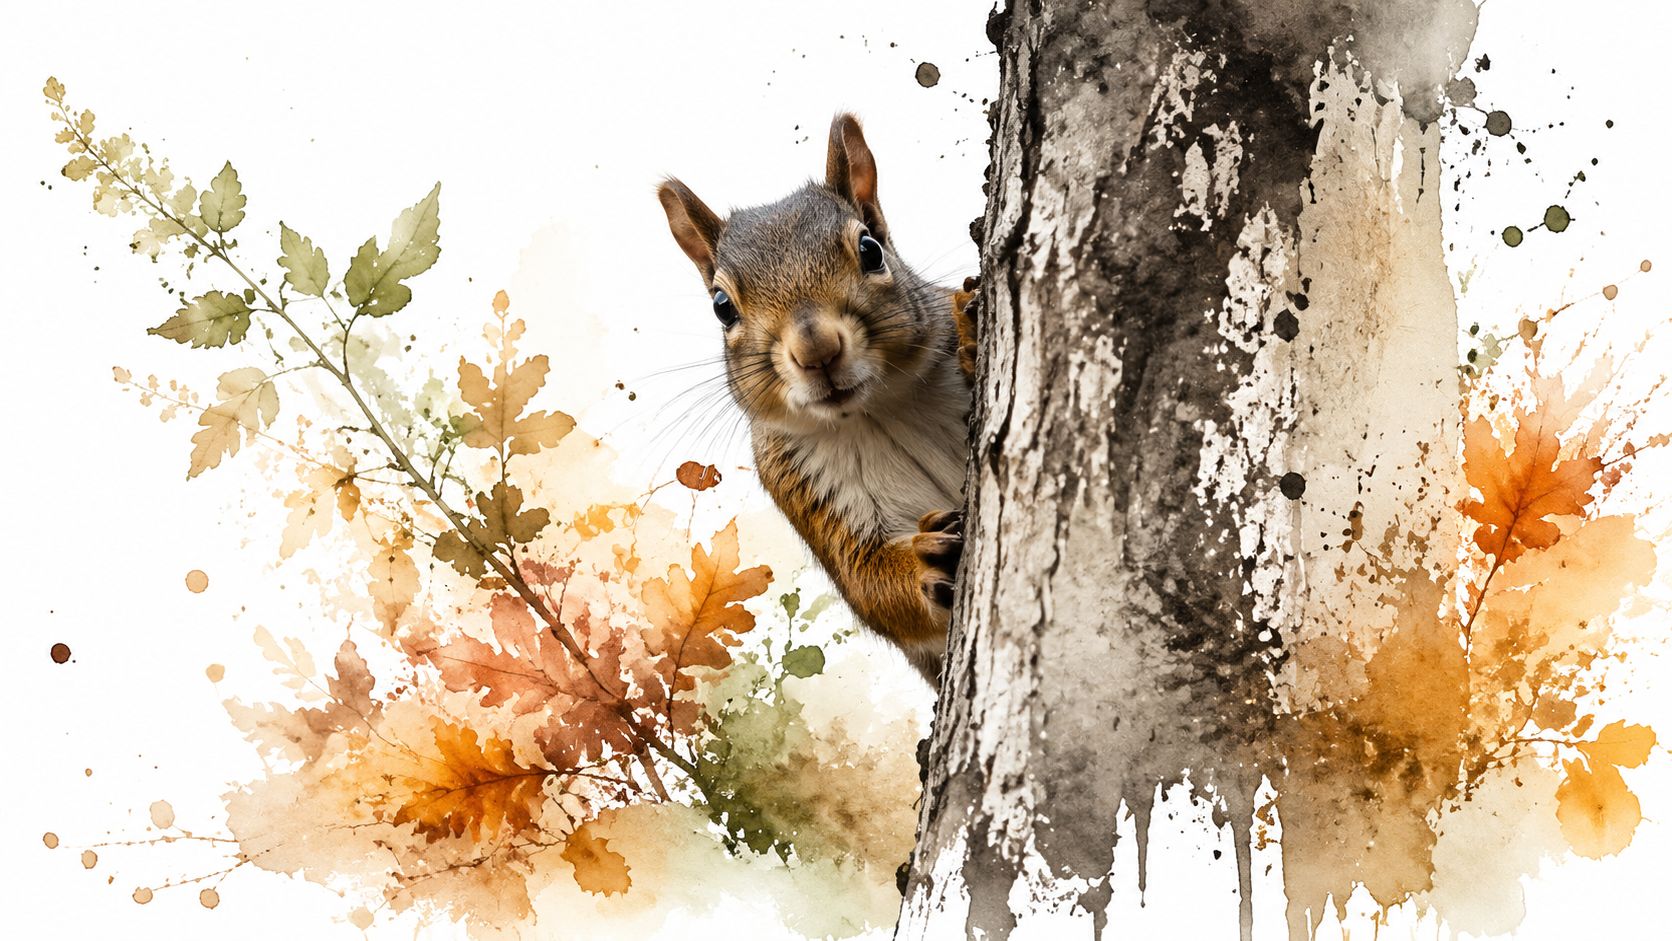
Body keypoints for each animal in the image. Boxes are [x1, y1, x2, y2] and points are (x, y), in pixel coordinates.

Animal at [657, 113, 978, 683]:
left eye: (871, 250)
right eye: (721, 306)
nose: (816, 349)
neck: (876, 413)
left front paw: (972, 326)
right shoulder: (806, 489)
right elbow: (867, 582)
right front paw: (924, 562)